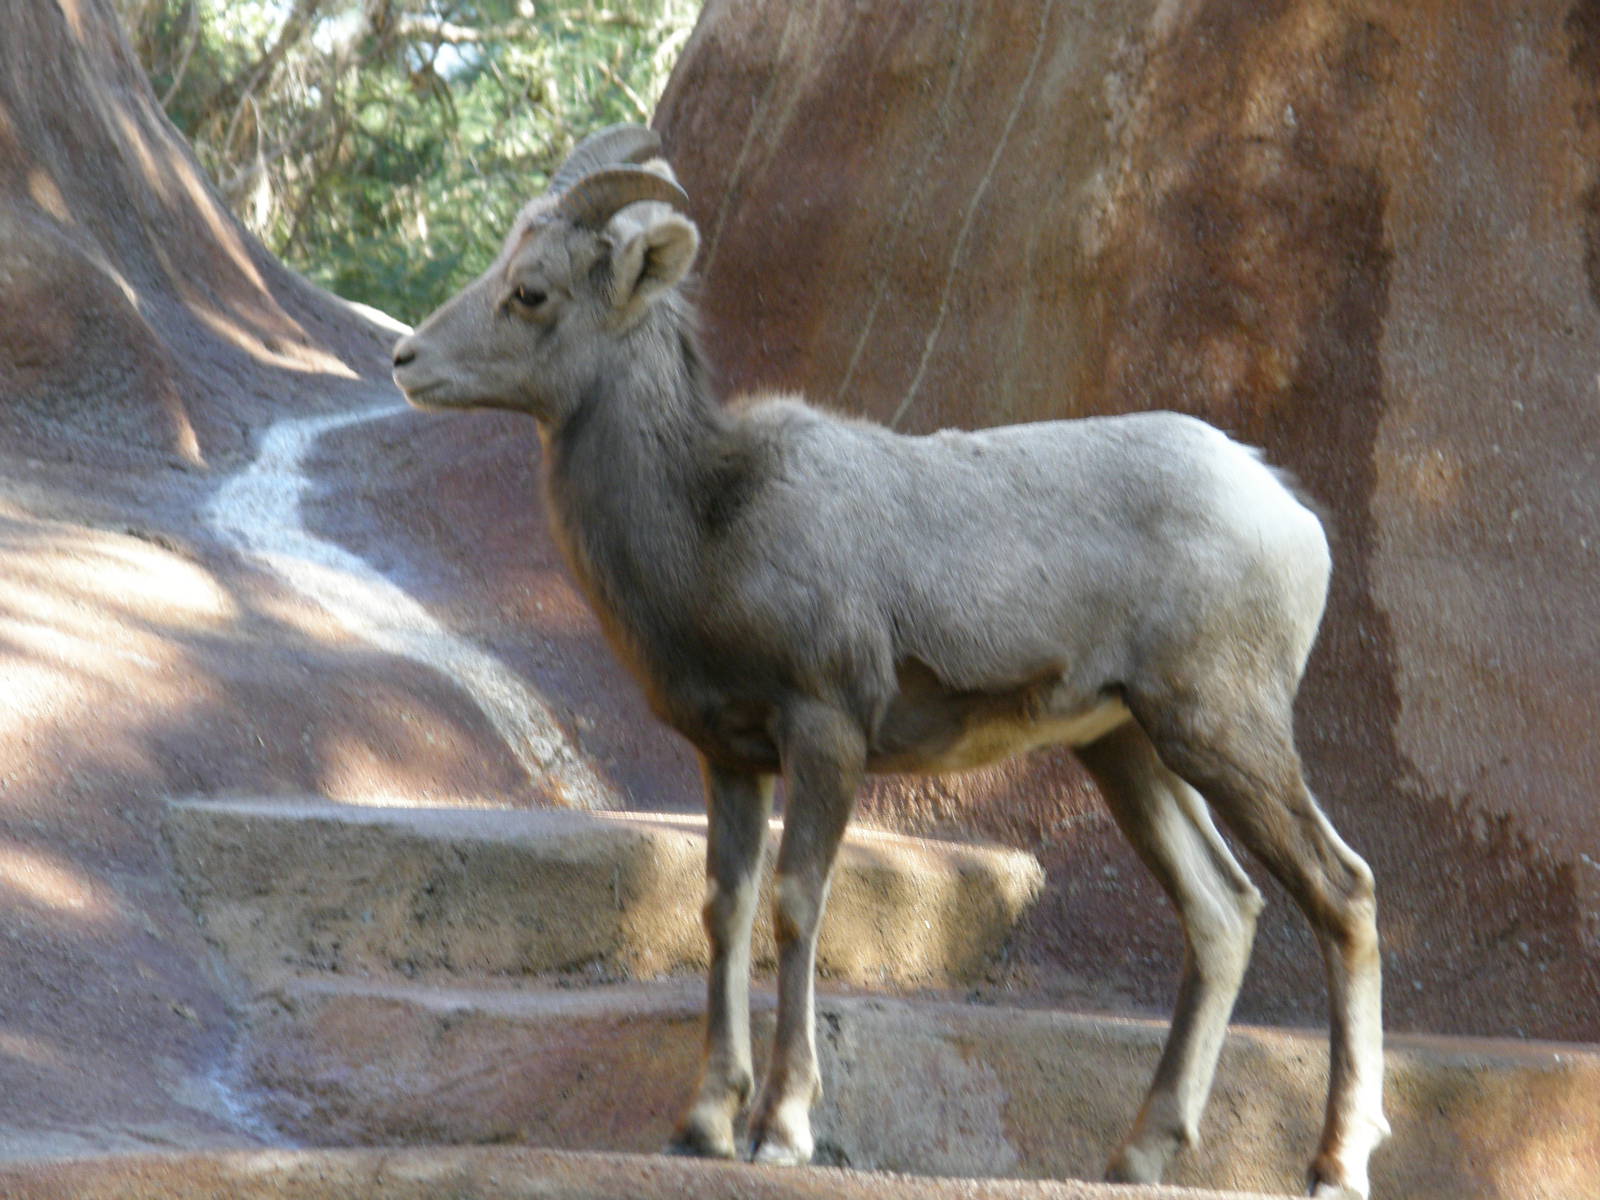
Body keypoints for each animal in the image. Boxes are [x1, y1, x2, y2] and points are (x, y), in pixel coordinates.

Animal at [390, 124, 1389, 1199]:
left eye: (531, 290)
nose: (404, 358)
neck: (711, 522)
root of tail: (1290, 513)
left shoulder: (827, 727)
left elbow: (797, 904)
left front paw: (781, 1127)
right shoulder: (729, 754)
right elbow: (724, 910)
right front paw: (702, 1124)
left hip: (1223, 727)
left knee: (1342, 890)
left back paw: (1336, 1164)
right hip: (1127, 746)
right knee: (1223, 909)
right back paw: (1136, 1154)